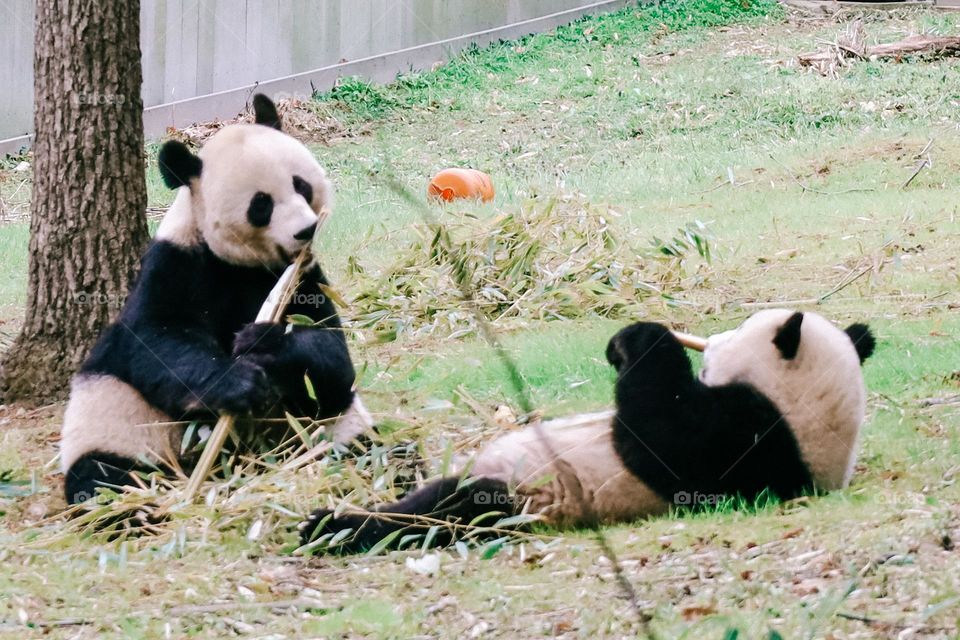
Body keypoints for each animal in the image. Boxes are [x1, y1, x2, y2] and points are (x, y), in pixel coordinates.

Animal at [61, 94, 371, 505]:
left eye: (301, 185)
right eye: (261, 205)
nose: (306, 230)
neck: (239, 264)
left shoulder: (301, 277)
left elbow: (332, 363)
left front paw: (262, 342)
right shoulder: (176, 264)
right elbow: (155, 338)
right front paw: (240, 383)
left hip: (328, 435)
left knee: (371, 452)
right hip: (116, 422)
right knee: (105, 481)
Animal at [299, 309, 875, 553]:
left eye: (733, 334)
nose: (710, 339)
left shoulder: (747, 441)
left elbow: (662, 430)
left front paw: (638, 338)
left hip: (512, 496)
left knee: (442, 511)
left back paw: (327, 526)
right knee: (400, 461)